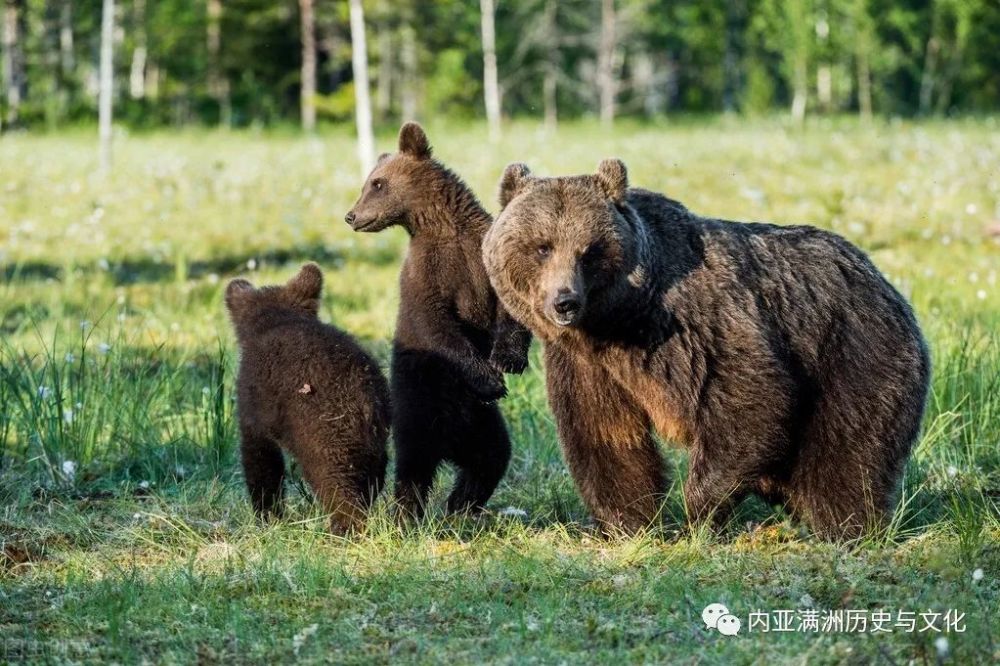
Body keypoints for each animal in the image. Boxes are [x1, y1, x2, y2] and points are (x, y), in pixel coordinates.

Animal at [484, 158, 928, 536]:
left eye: (589, 251)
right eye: (542, 246)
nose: (565, 301)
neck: (618, 320)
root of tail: (885, 283)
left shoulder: (696, 324)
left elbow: (751, 394)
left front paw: (698, 511)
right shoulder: (588, 364)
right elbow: (606, 433)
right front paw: (629, 522)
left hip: (853, 355)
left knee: (845, 457)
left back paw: (847, 525)